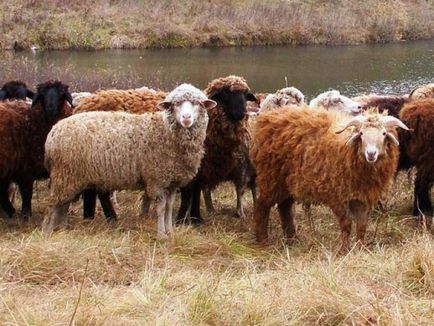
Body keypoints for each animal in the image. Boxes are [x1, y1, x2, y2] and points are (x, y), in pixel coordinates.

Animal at [0, 81, 72, 219]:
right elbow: (27, 193)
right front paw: (26, 215)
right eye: (42, 94)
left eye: (61, 93)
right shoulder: (26, 167)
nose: (51, 108)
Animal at [253, 107, 408, 252]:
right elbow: (346, 224)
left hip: (287, 183)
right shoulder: (337, 196)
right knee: (262, 205)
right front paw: (344, 250)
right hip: (271, 177)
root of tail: (270, 117)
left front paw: (360, 248)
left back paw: (292, 239)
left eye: (384, 134)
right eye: (361, 134)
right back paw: (263, 240)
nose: (371, 153)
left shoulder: (361, 197)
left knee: (284, 206)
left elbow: (362, 225)